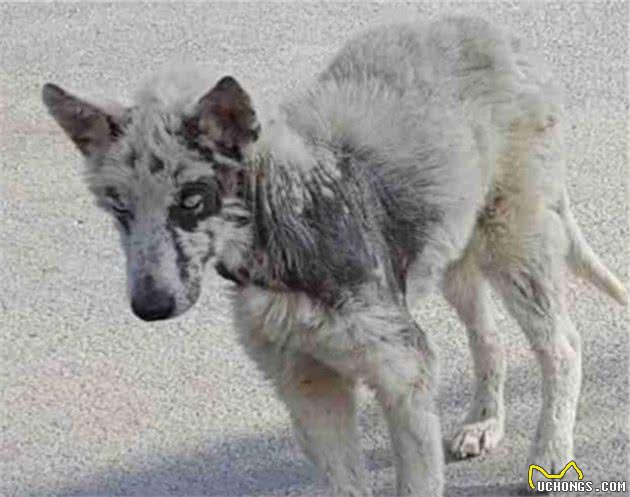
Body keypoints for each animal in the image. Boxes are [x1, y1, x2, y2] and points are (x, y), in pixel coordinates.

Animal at [43, 15, 628, 496]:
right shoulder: (308, 387)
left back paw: (550, 455)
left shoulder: (403, 374)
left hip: (515, 244)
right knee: (488, 338)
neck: (289, 224)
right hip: (454, 251)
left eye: (191, 199)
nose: (150, 307)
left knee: (562, 346)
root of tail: (493, 31)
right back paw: (485, 422)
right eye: (117, 207)